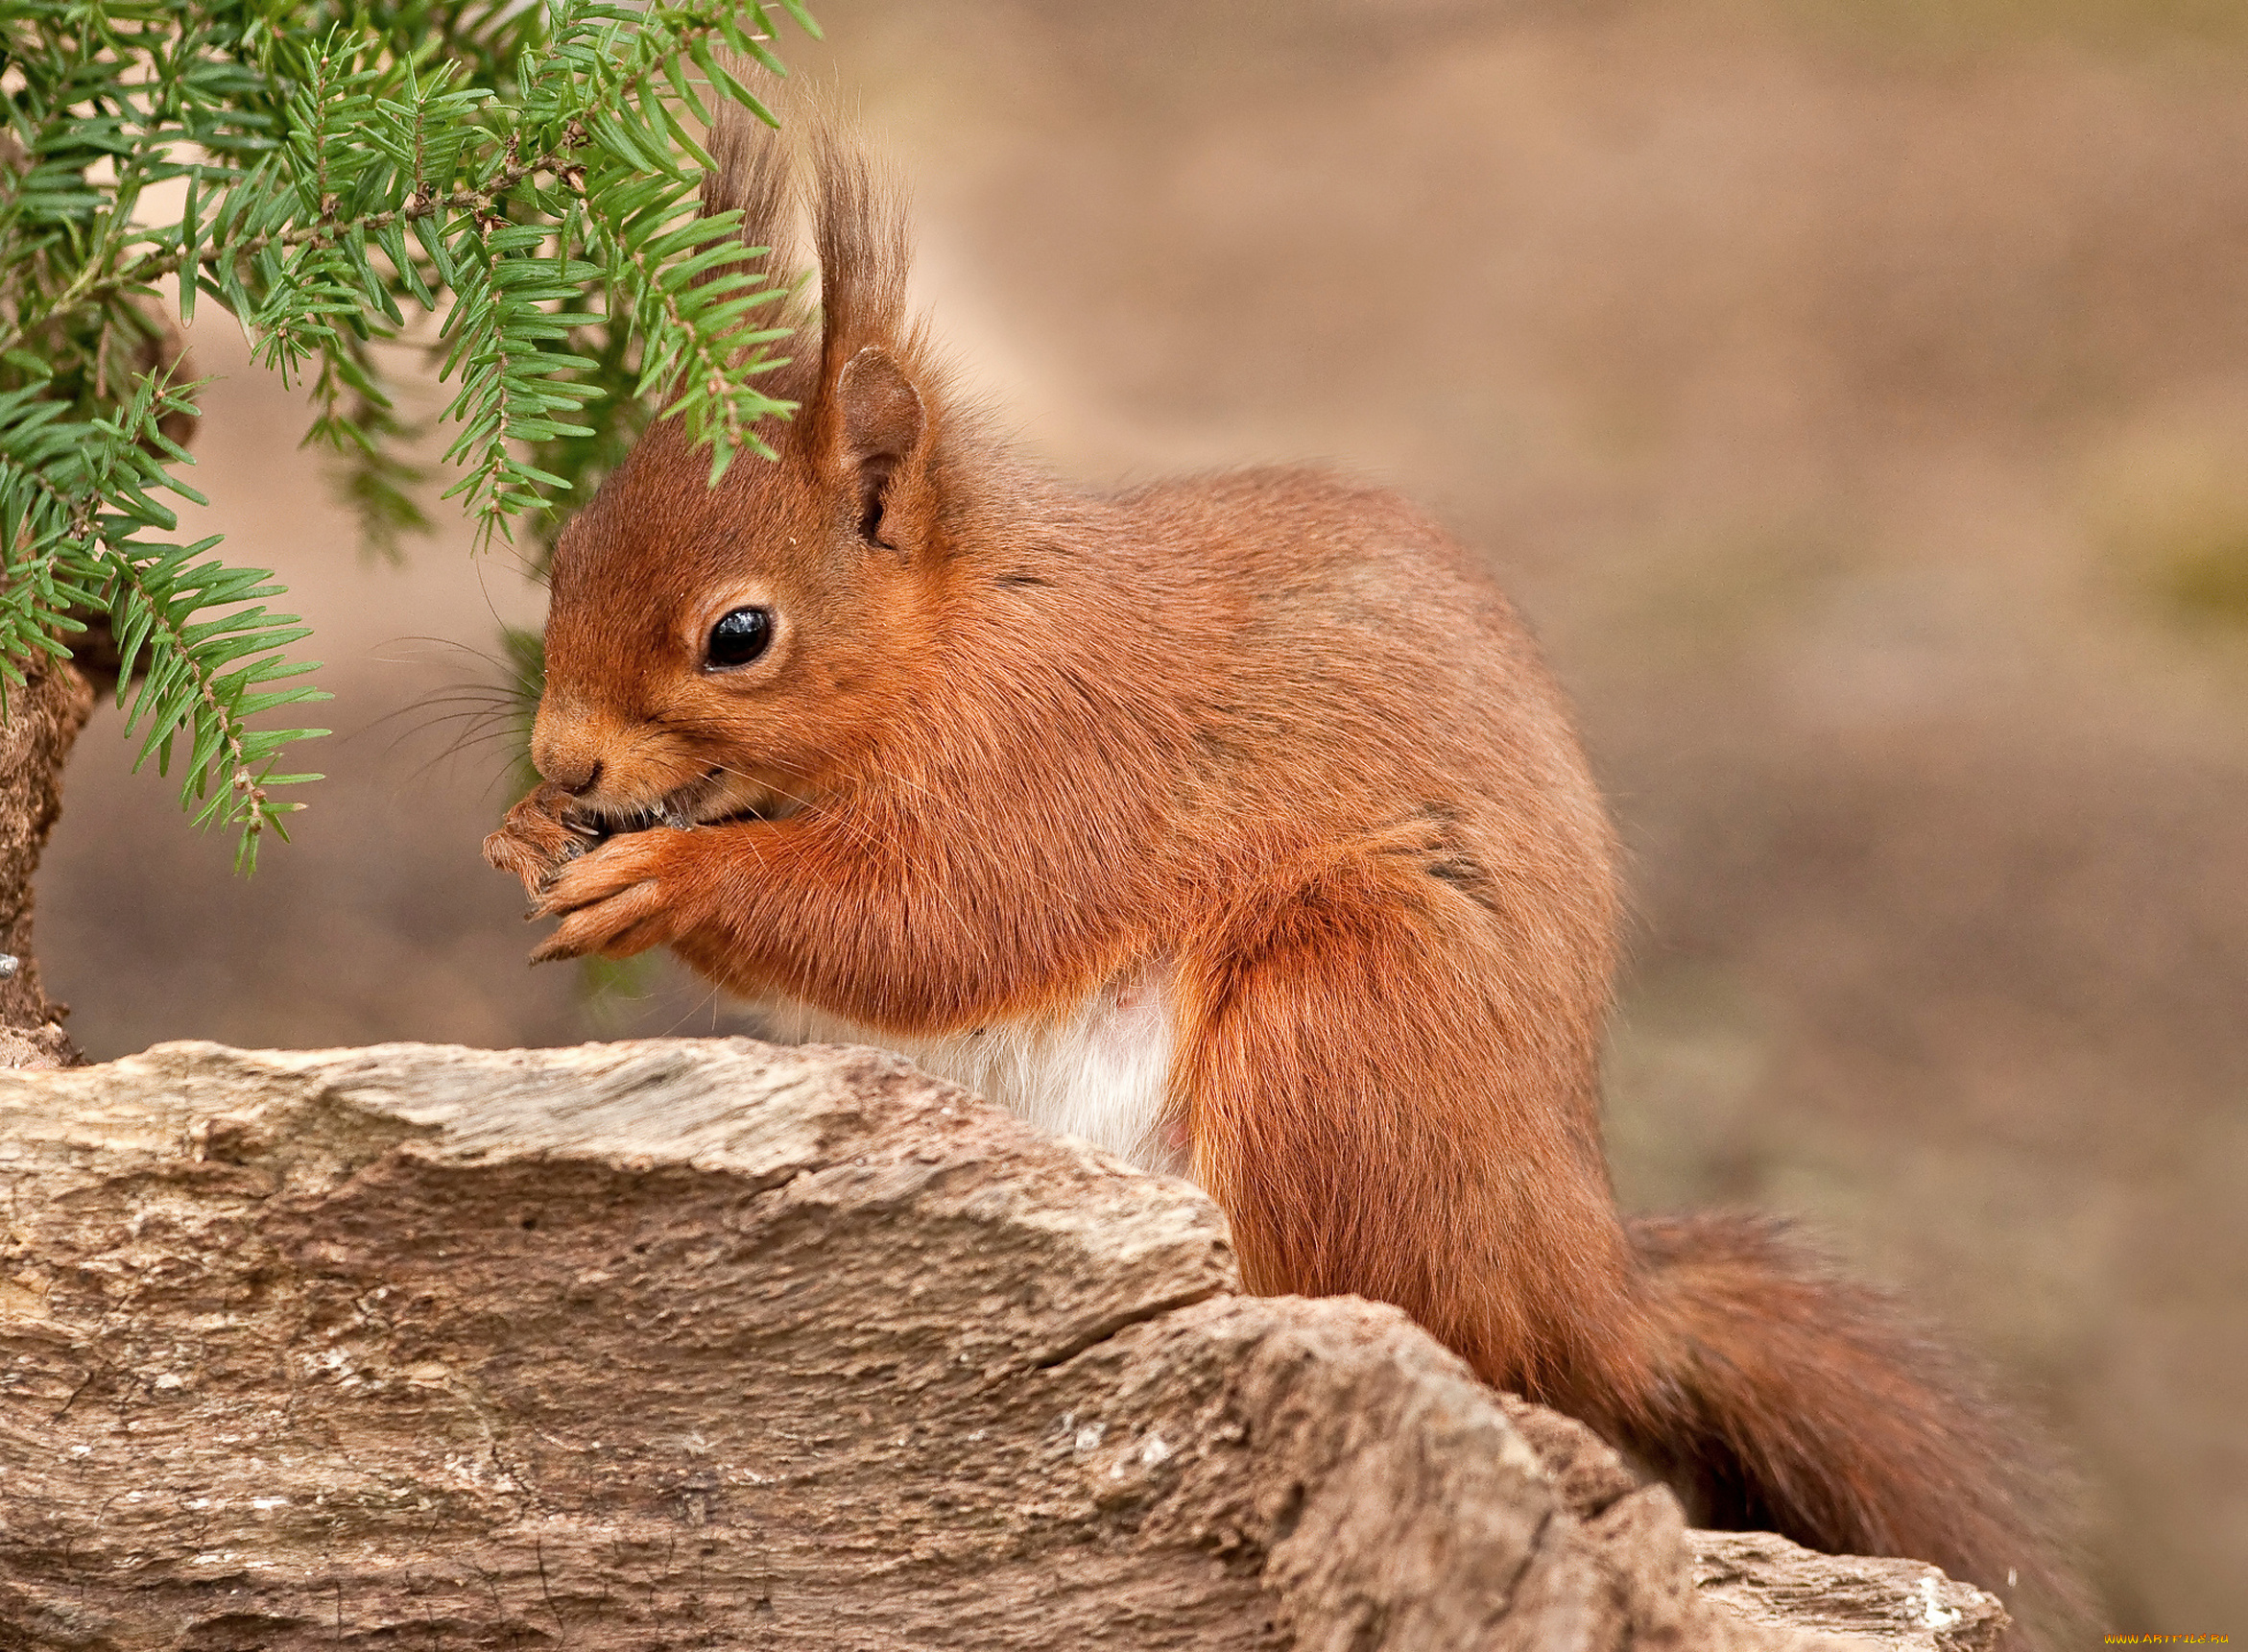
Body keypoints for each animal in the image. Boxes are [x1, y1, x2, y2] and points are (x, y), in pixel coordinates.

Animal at [488, 107, 2068, 1644]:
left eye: (738, 634)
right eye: (565, 554)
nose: (564, 757)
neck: (962, 628)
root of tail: (1582, 1280)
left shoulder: (1065, 757)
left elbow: (934, 923)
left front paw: (668, 881)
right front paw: (521, 830)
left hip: (1343, 1013)